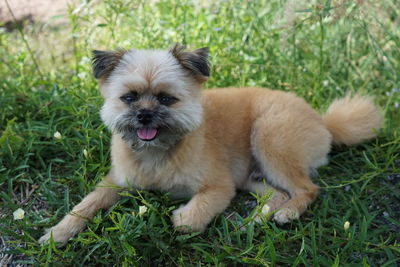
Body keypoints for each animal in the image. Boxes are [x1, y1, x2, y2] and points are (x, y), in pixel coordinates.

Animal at [39, 43, 382, 245]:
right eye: (129, 98)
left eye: (167, 99)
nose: (145, 115)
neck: (157, 153)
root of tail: (324, 122)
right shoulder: (116, 182)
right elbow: (86, 205)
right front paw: (58, 233)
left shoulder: (219, 186)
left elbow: (191, 217)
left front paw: (183, 217)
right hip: (250, 175)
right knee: (277, 194)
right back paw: (252, 222)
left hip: (270, 138)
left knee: (306, 190)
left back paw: (286, 215)